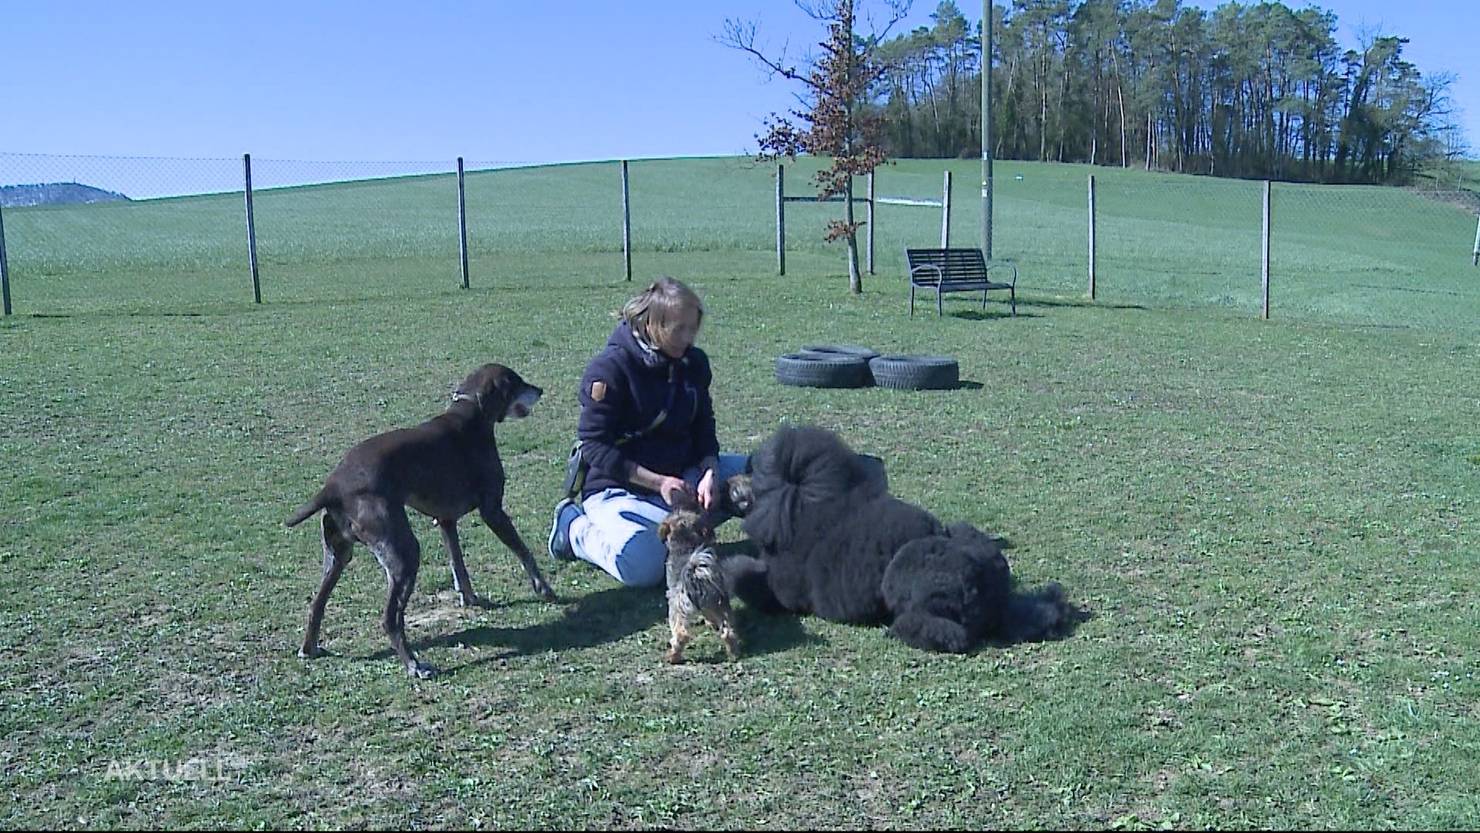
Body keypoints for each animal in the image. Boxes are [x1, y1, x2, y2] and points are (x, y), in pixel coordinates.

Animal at [284, 363, 556, 677]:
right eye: (516, 382)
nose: (540, 390)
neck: (470, 414)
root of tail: (332, 487)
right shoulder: (493, 511)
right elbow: (523, 552)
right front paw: (545, 589)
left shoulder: (446, 520)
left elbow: (458, 566)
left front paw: (470, 599)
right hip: (404, 556)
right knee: (390, 619)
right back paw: (415, 665)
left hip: (338, 556)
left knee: (316, 605)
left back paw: (309, 649)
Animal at [660, 494, 740, 665]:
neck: (684, 543)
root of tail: (696, 576)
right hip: (718, 604)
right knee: (727, 630)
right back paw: (733, 653)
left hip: (677, 609)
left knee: (681, 635)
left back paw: (673, 657)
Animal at [722, 426, 1071, 653]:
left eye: (750, 474)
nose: (727, 482)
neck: (801, 509)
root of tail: (993, 597)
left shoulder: (780, 593)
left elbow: (745, 577)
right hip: (961, 531)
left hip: (906, 571)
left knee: (949, 633)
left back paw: (901, 630)